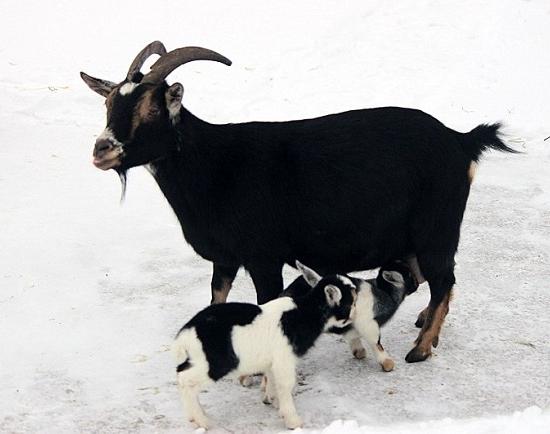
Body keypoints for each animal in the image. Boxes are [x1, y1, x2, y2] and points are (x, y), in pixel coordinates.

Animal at [82, 40, 516, 362]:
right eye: (108, 104)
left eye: (151, 107)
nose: (102, 150)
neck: (214, 164)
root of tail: (461, 140)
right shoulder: (226, 257)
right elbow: (216, 296)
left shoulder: (264, 256)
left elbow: (266, 303)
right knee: (432, 275)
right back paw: (425, 325)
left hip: (436, 226)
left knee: (443, 277)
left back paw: (422, 348)